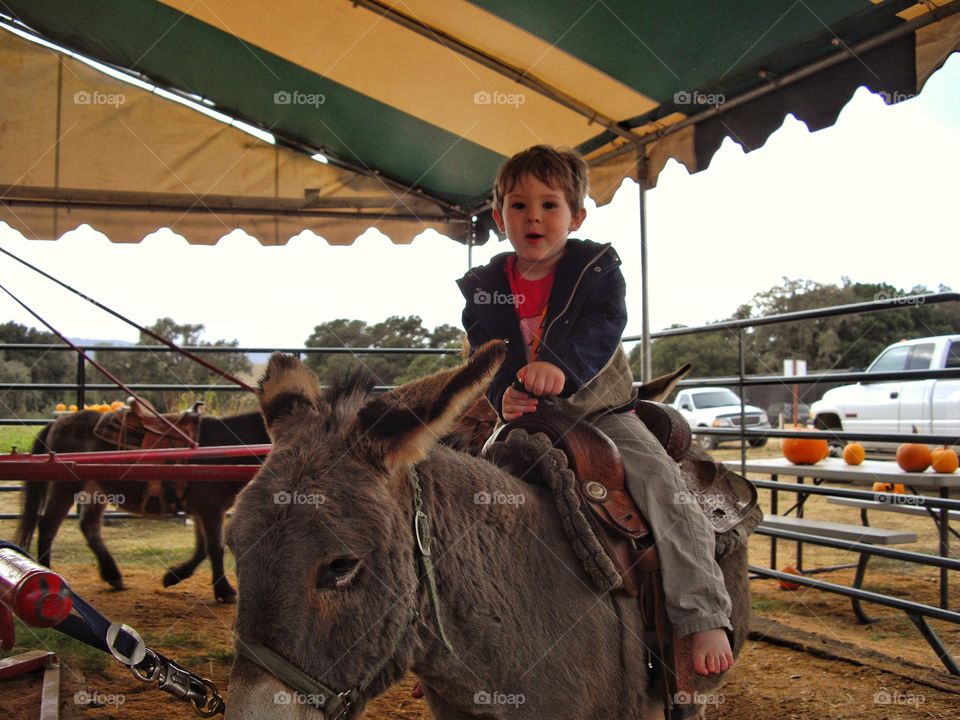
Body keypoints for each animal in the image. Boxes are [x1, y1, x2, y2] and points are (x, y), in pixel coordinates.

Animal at [14, 407, 268, 603]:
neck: (227, 444)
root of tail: (57, 422)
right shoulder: (210, 508)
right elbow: (215, 548)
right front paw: (225, 590)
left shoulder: (201, 511)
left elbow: (202, 548)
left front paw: (173, 576)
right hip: (66, 486)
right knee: (48, 525)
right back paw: (49, 575)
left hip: (95, 489)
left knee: (89, 527)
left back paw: (113, 575)